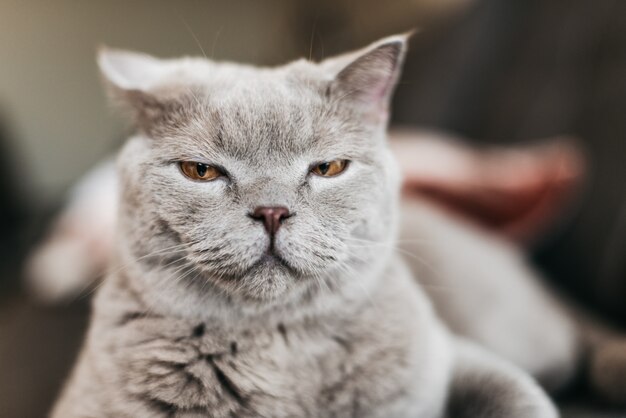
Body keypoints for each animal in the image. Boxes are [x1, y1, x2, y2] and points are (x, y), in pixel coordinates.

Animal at [50, 35, 556, 418]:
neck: (280, 347)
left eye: (328, 168)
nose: (272, 211)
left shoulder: (453, 355)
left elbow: (521, 395)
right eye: (201, 171)